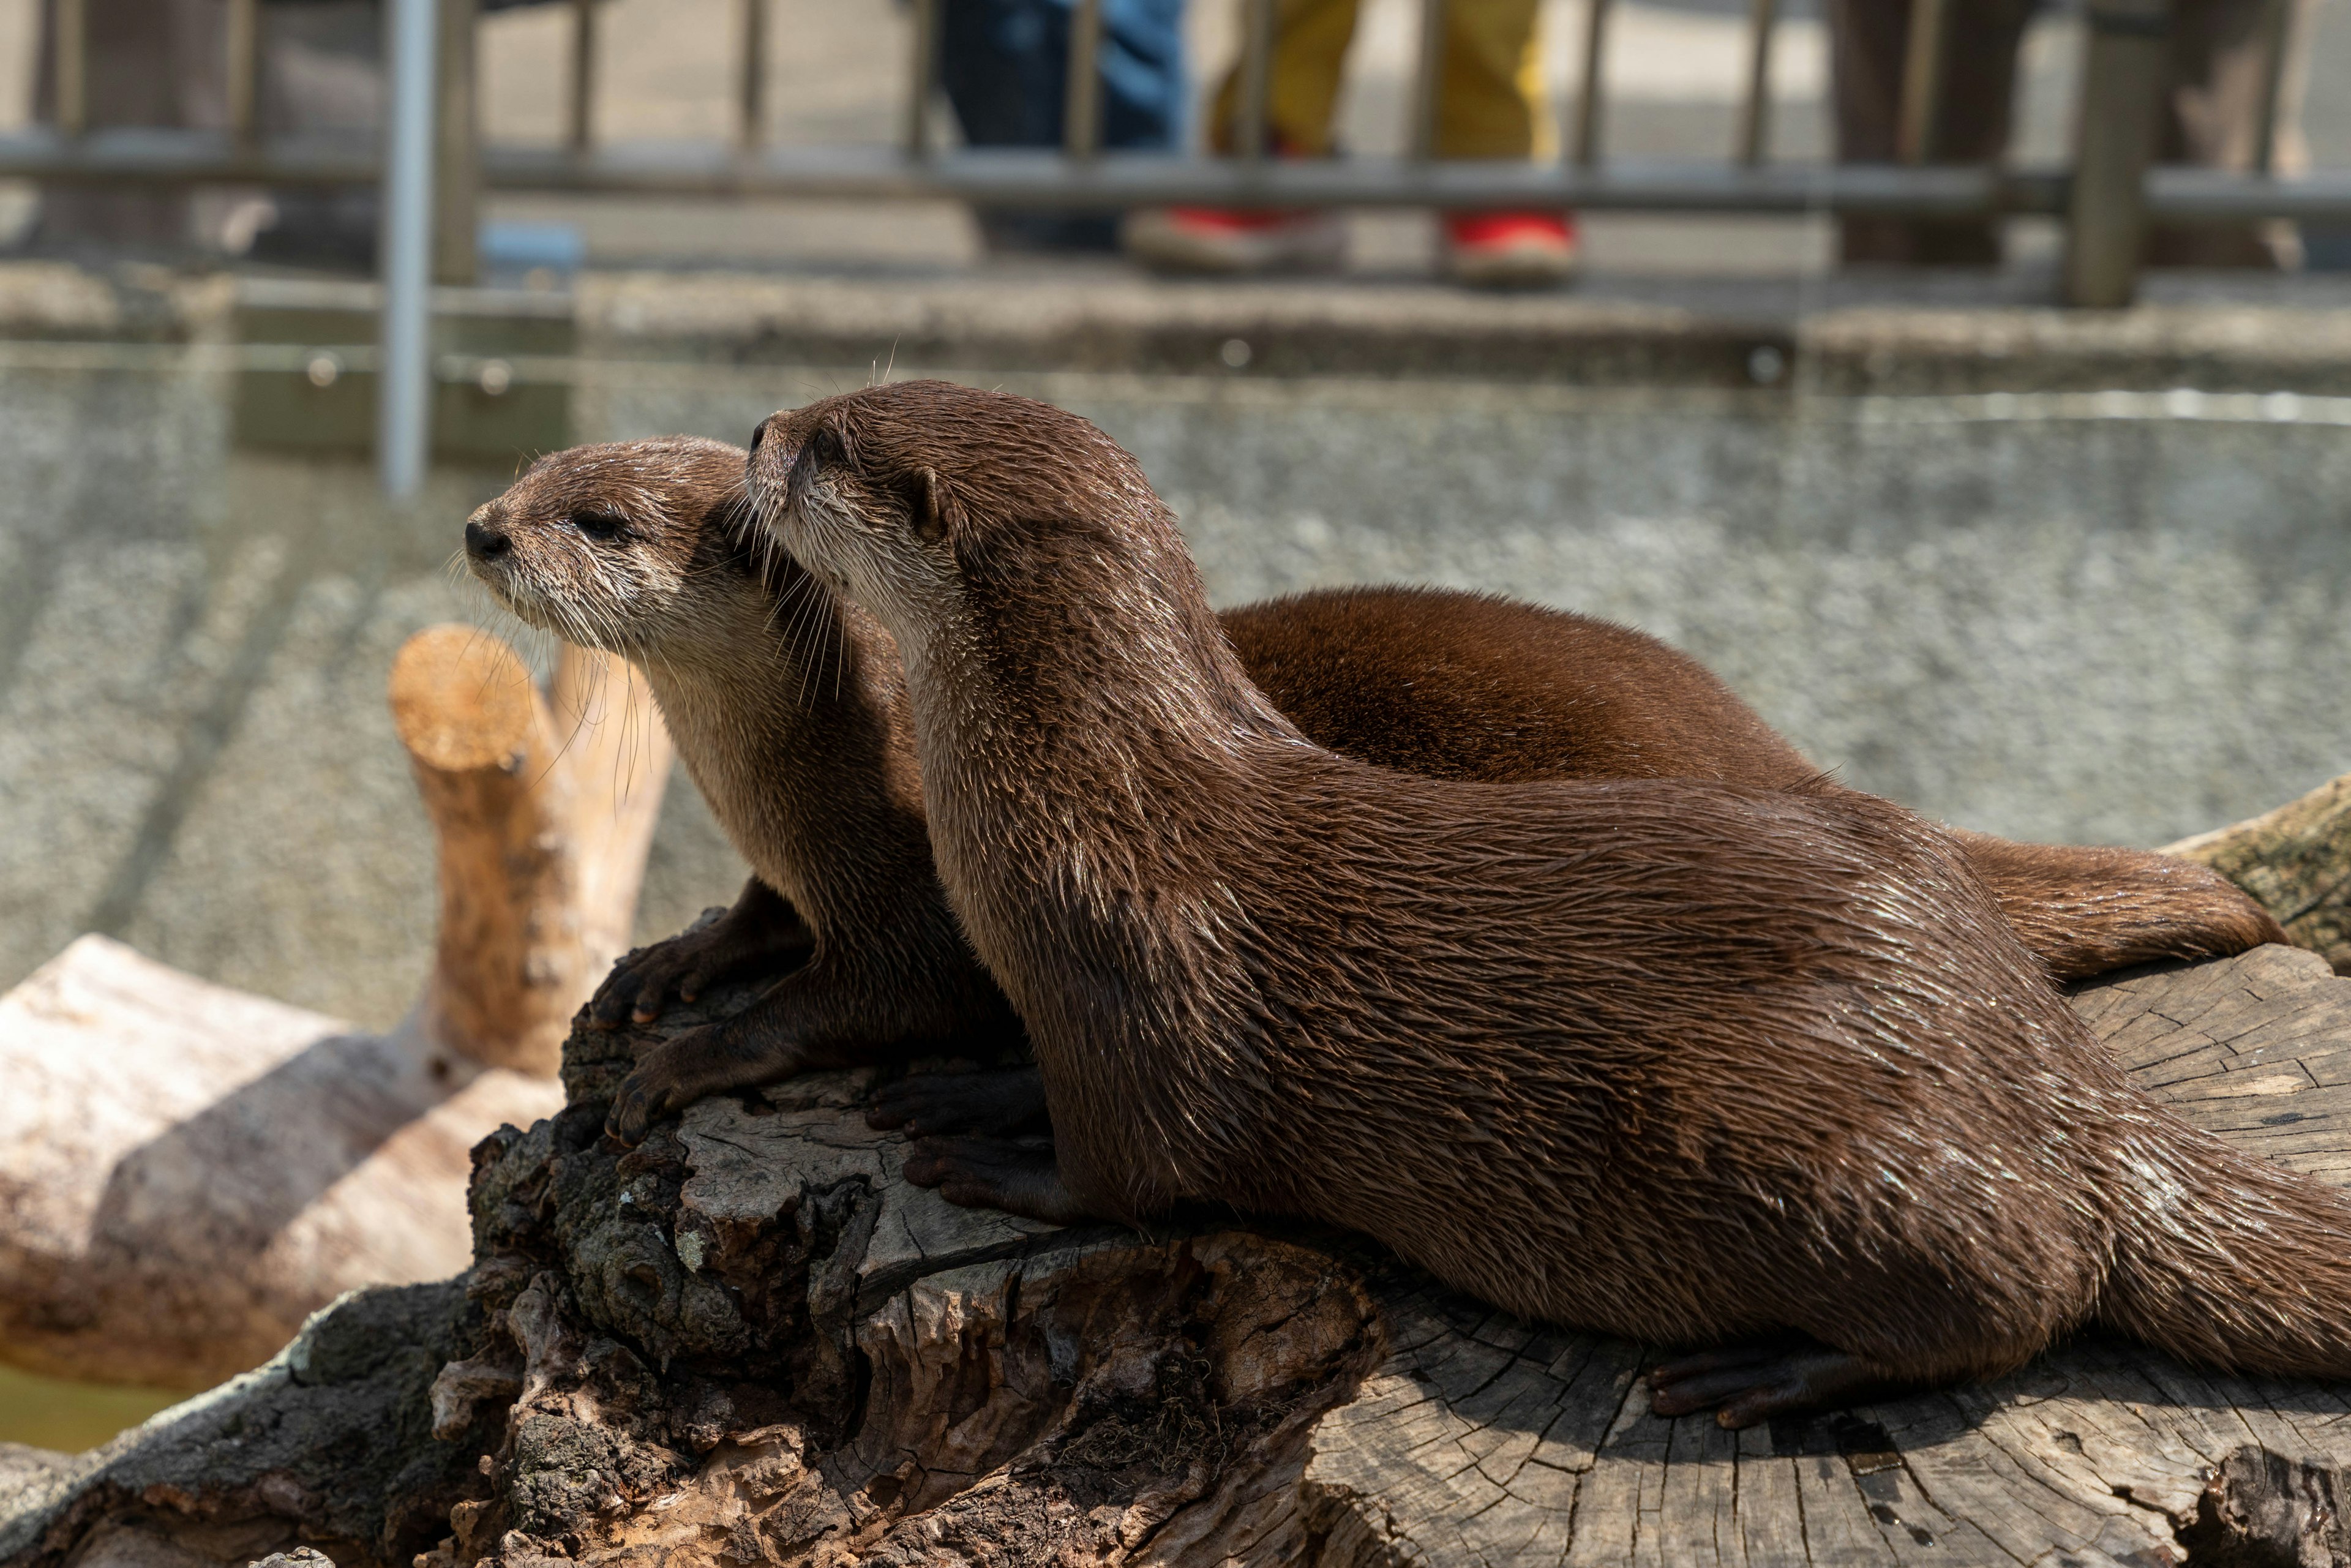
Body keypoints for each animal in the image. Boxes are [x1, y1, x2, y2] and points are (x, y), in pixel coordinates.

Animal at [463, 440, 2276, 1142]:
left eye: (600, 519)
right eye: (538, 472)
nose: (481, 524)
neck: (793, 777)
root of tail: (1774, 754)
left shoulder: (915, 882)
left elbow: (869, 994)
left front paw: (694, 1053)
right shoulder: (787, 856)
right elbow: (751, 917)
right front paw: (664, 965)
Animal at [743, 376, 2351, 1420]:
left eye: (833, 441)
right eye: (849, 389)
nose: (755, 429)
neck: (1094, 794)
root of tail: (2072, 1100)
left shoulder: (1141, 991)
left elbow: (1119, 1172)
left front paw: (983, 1157)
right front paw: (962, 1085)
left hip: (1784, 1125)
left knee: (2023, 1293)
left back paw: (1768, 1368)